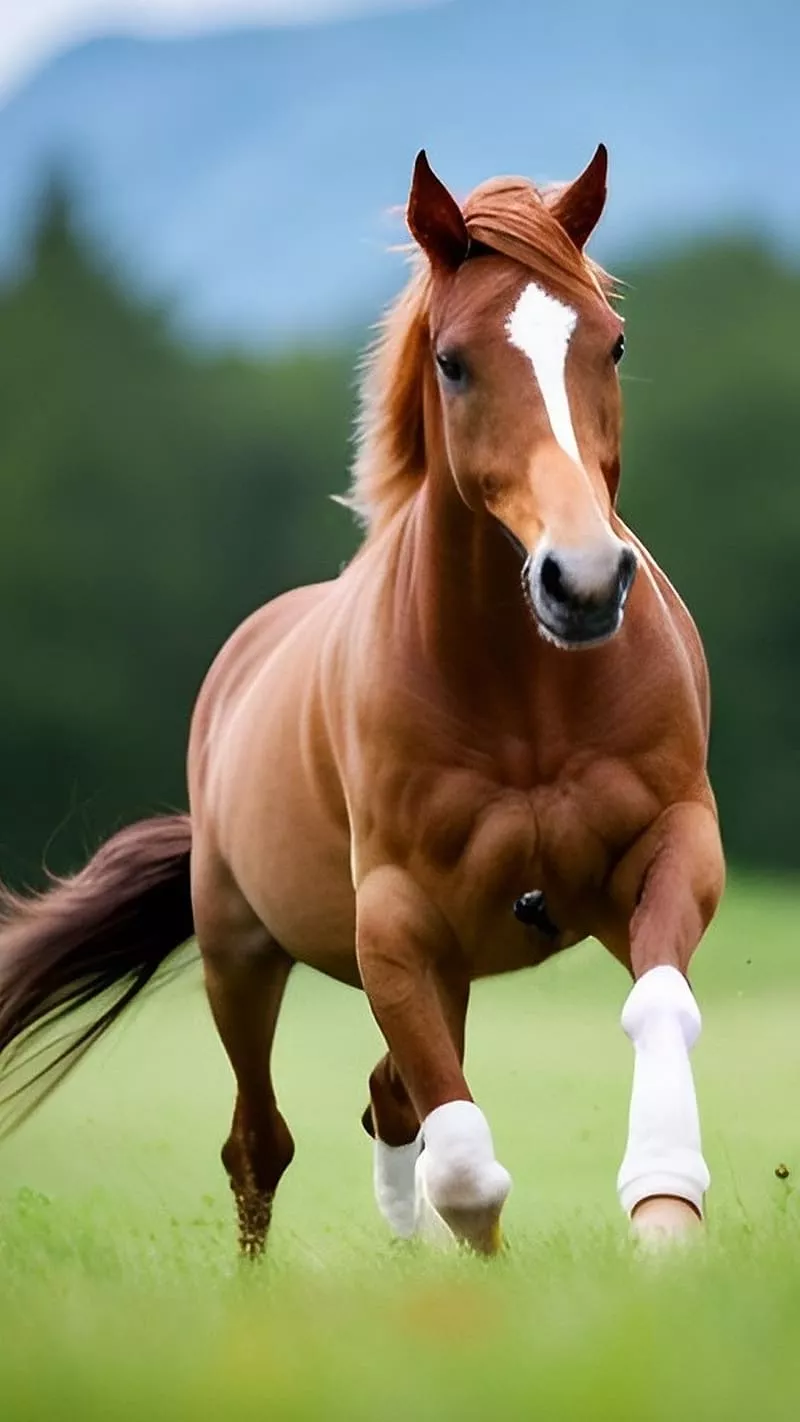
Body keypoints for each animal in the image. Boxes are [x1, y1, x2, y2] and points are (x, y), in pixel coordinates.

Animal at [0, 145, 724, 1256]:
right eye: (453, 361)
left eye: (611, 342)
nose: (585, 580)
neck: (526, 696)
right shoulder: (391, 922)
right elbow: (463, 1163)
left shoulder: (670, 846)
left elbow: (656, 1007)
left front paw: (663, 1210)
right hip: (240, 957)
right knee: (261, 1143)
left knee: (386, 1097)